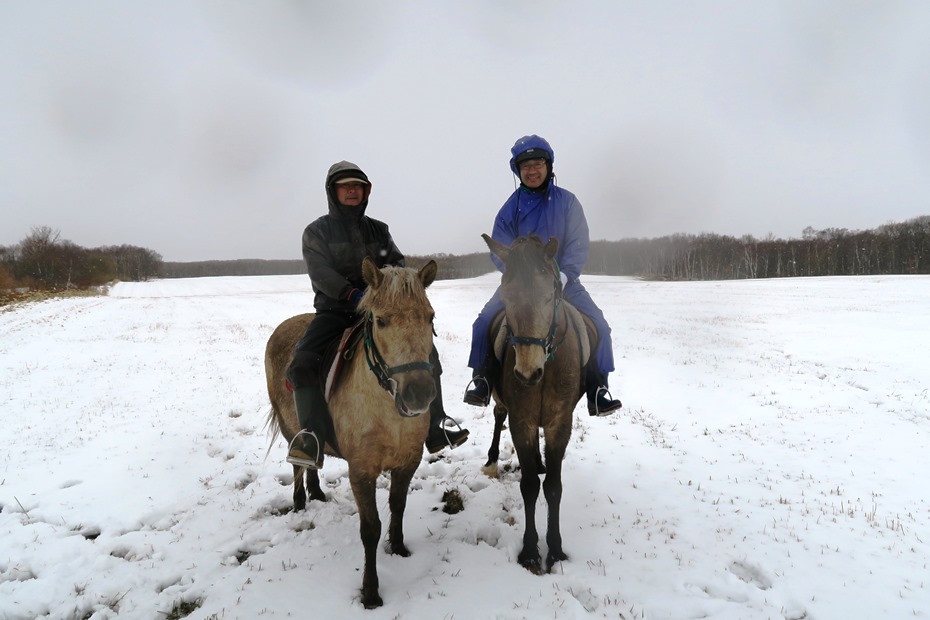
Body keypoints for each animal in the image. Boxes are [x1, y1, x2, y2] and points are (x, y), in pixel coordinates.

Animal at [264, 256, 438, 612]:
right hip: (290, 429)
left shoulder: (408, 462)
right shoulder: (361, 472)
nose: (418, 394)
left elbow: (398, 506)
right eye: (381, 321)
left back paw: (317, 493)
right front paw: (370, 592)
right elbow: (370, 529)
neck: (388, 410)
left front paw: (399, 549)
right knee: (298, 464)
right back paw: (300, 502)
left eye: (430, 317)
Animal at [478, 234, 596, 576]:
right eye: (505, 296)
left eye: (550, 295)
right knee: (497, 417)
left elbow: (553, 487)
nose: (528, 373)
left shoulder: (559, 423)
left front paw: (555, 550)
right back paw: (492, 460)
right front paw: (531, 551)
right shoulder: (522, 421)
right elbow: (530, 486)